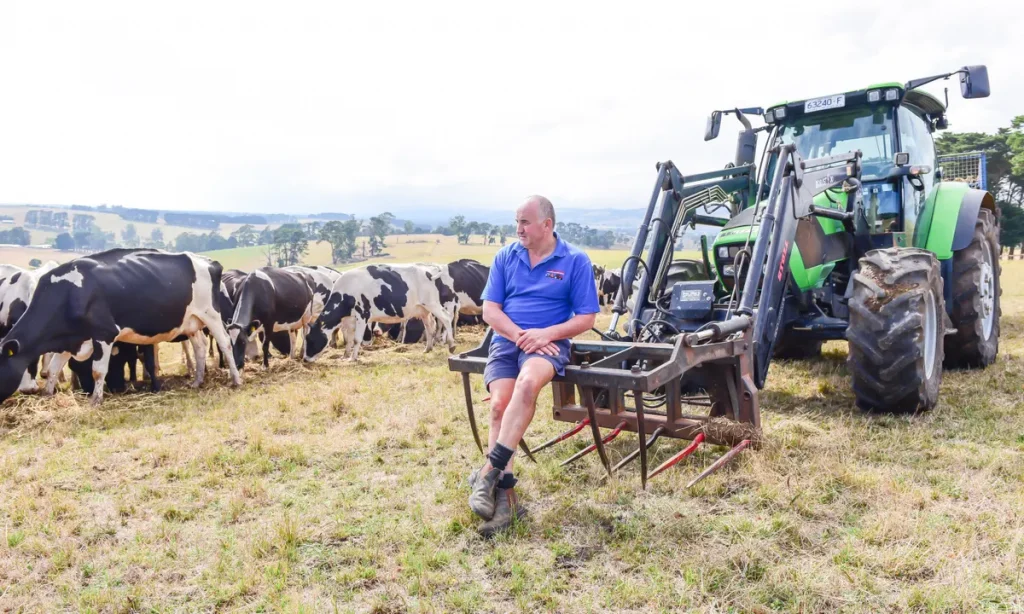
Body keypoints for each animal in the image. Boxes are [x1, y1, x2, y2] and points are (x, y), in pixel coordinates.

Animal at [301, 261, 458, 360]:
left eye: (311, 339)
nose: (305, 359)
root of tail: (430, 271)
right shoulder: (349, 320)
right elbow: (349, 339)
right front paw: (345, 356)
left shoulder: (362, 315)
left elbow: (357, 339)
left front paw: (353, 358)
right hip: (423, 309)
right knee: (429, 325)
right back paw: (428, 348)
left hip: (432, 304)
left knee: (446, 318)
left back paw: (451, 345)